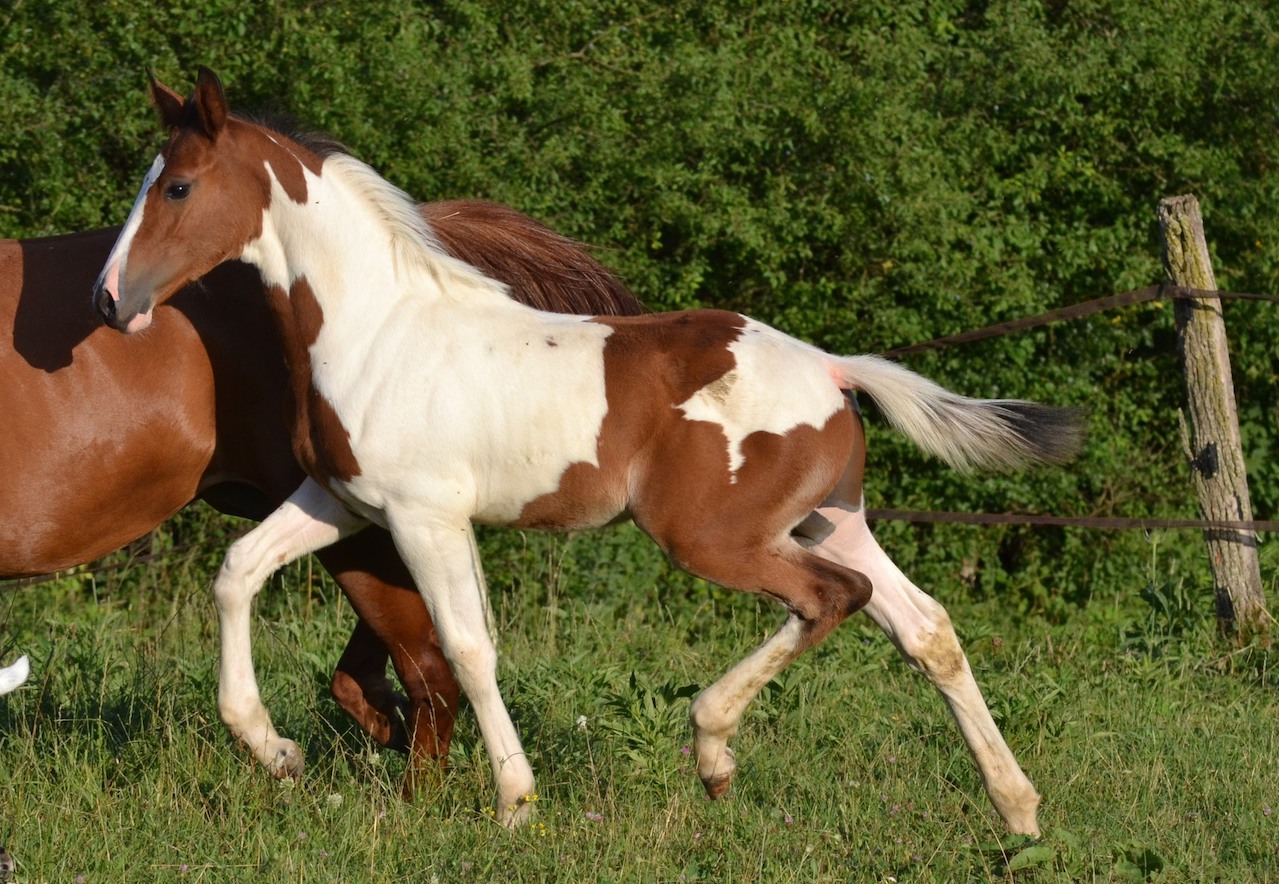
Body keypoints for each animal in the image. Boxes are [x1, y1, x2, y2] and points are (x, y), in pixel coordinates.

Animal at [94, 71, 1084, 839]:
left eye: (177, 189)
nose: (109, 300)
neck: (377, 329)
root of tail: (836, 372)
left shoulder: (425, 515)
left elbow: (468, 647)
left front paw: (515, 803)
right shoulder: (341, 499)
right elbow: (237, 570)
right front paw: (274, 751)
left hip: (714, 537)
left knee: (832, 600)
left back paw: (714, 754)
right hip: (827, 520)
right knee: (926, 628)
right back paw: (1018, 809)